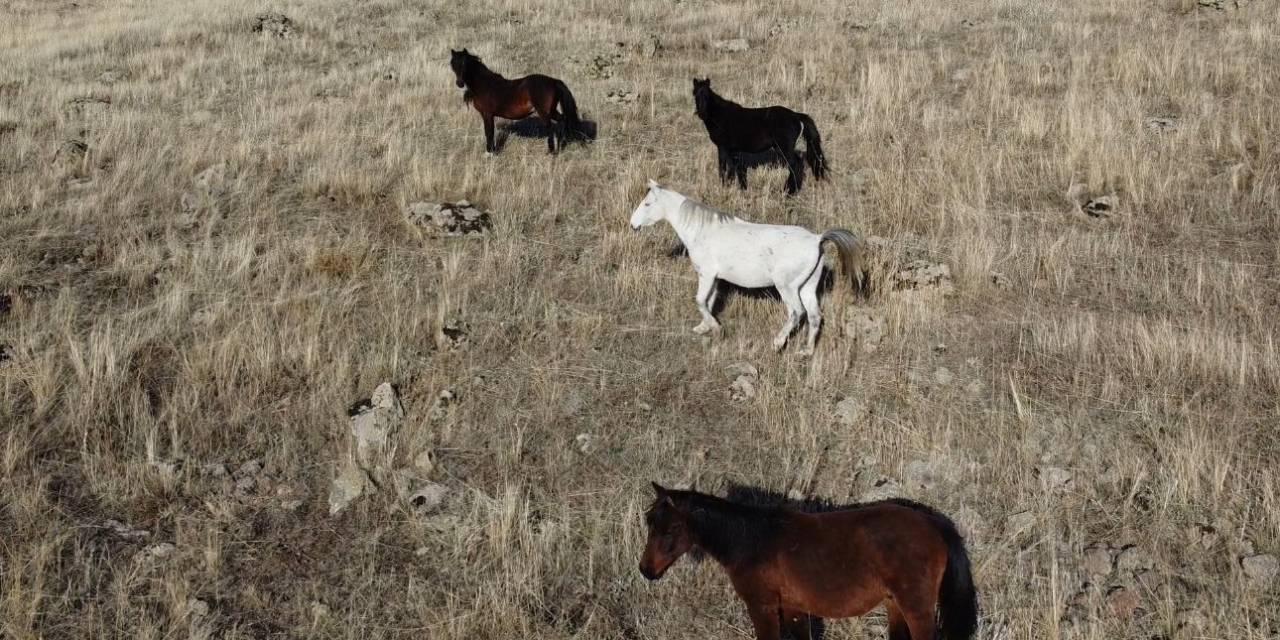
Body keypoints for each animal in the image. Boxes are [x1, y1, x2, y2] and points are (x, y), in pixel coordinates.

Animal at [450, 48, 588, 154]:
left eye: (465, 64)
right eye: (453, 64)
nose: (459, 83)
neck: (484, 84)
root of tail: (554, 81)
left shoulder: (487, 114)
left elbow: (489, 132)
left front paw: (490, 152)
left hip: (544, 112)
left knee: (550, 127)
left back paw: (551, 151)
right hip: (552, 110)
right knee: (562, 120)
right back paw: (560, 145)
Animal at [629, 181, 870, 355]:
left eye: (647, 204)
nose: (633, 225)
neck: (703, 231)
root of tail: (817, 239)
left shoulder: (706, 274)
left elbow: (700, 300)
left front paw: (716, 328)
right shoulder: (715, 278)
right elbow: (709, 301)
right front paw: (704, 327)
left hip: (788, 288)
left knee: (796, 312)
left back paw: (777, 343)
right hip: (807, 287)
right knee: (814, 316)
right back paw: (806, 352)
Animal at [640, 483, 977, 640]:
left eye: (671, 529)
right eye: (649, 522)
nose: (646, 570)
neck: (753, 542)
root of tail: (933, 524)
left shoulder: (762, 607)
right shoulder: (794, 609)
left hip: (916, 608)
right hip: (895, 605)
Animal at [691, 77, 829, 193]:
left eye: (707, 96)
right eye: (695, 95)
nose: (701, 113)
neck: (721, 116)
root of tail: (796, 115)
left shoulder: (722, 147)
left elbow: (723, 168)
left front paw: (724, 187)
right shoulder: (733, 150)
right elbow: (735, 170)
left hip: (784, 149)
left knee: (796, 165)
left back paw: (788, 191)